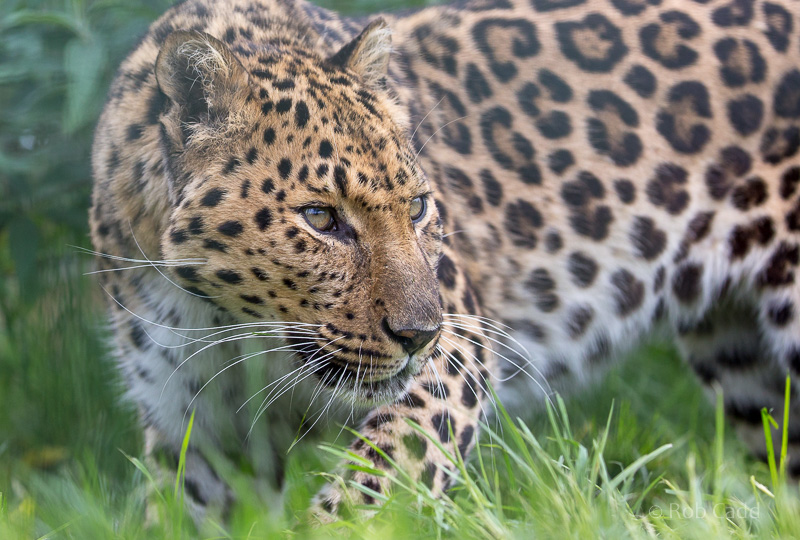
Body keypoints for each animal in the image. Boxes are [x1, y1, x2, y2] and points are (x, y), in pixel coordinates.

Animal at [89, 0, 800, 523]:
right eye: (320, 218)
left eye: (419, 206)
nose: (418, 335)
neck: (223, 321)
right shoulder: (195, 427)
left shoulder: (456, 359)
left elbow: (372, 493)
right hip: (749, 366)